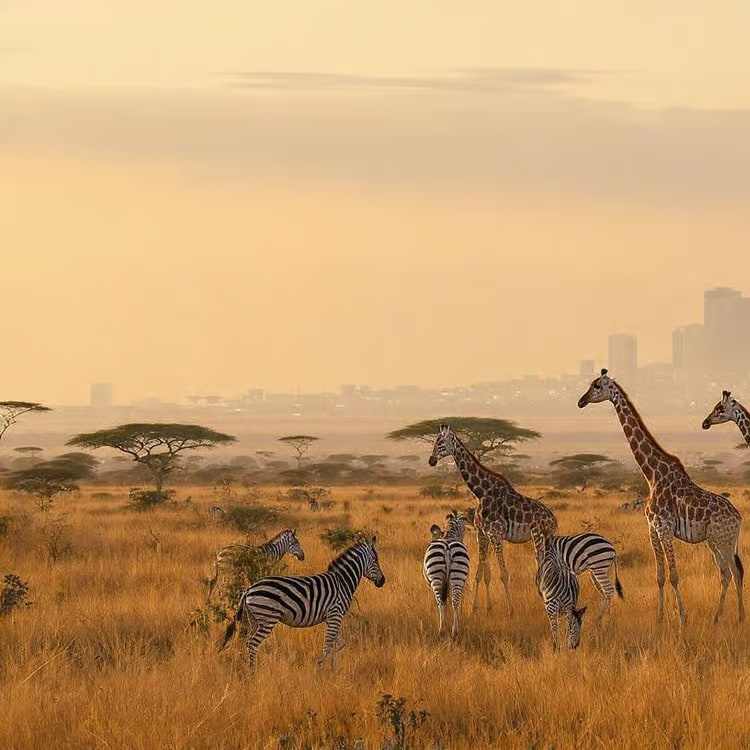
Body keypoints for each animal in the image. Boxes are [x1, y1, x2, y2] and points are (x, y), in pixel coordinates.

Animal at [218, 536, 385, 667]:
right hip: (267, 618)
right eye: (376, 560)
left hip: (253, 619)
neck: (342, 581)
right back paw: (253, 672)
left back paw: (244, 666)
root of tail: (249, 589)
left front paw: (333, 669)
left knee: (245, 641)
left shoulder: (331, 618)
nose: (383, 581)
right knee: (252, 643)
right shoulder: (335, 614)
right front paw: (321, 668)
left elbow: (338, 644)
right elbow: (328, 645)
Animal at [428, 424, 557, 614]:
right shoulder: (482, 534)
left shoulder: (496, 535)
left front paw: (510, 610)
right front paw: (477, 608)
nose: (431, 460)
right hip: (544, 538)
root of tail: (553, 519)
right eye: (436, 441)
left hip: (539, 536)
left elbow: (503, 574)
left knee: (542, 565)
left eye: (441, 442)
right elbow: (481, 574)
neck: (481, 493)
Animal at [579, 369, 744, 625]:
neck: (652, 474)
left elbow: (674, 575)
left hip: (723, 539)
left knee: (734, 572)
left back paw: (738, 617)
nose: (581, 401)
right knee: (729, 572)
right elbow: (659, 575)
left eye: (597, 386)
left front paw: (682, 618)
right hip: (716, 541)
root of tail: (738, 518)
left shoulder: (664, 527)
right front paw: (659, 618)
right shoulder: (652, 528)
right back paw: (726, 617)